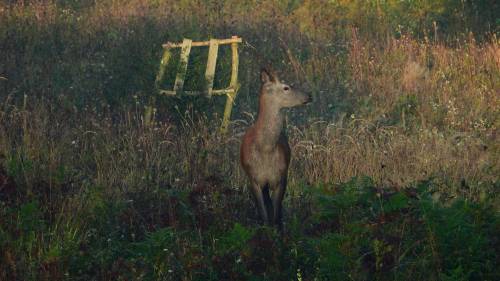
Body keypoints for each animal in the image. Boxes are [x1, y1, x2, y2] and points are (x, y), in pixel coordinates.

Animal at [240, 66, 310, 229]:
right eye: (286, 87)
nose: (309, 95)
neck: (265, 149)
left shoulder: (282, 177)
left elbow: (277, 216)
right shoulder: (254, 179)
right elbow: (264, 216)